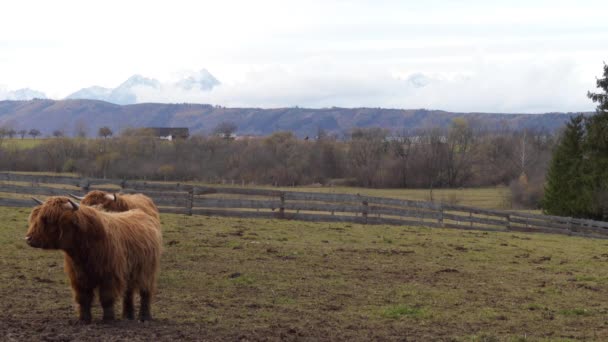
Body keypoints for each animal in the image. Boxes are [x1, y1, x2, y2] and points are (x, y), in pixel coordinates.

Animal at [26, 196, 162, 322]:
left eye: (48, 220)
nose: (28, 238)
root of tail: (141, 213)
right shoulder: (78, 277)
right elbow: (83, 298)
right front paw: (84, 319)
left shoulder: (109, 276)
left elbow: (107, 298)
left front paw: (108, 319)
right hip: (129, 273)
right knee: (128, 293)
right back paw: (127, 316)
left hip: (146, 271)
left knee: (145, 292)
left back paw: (144, 317)